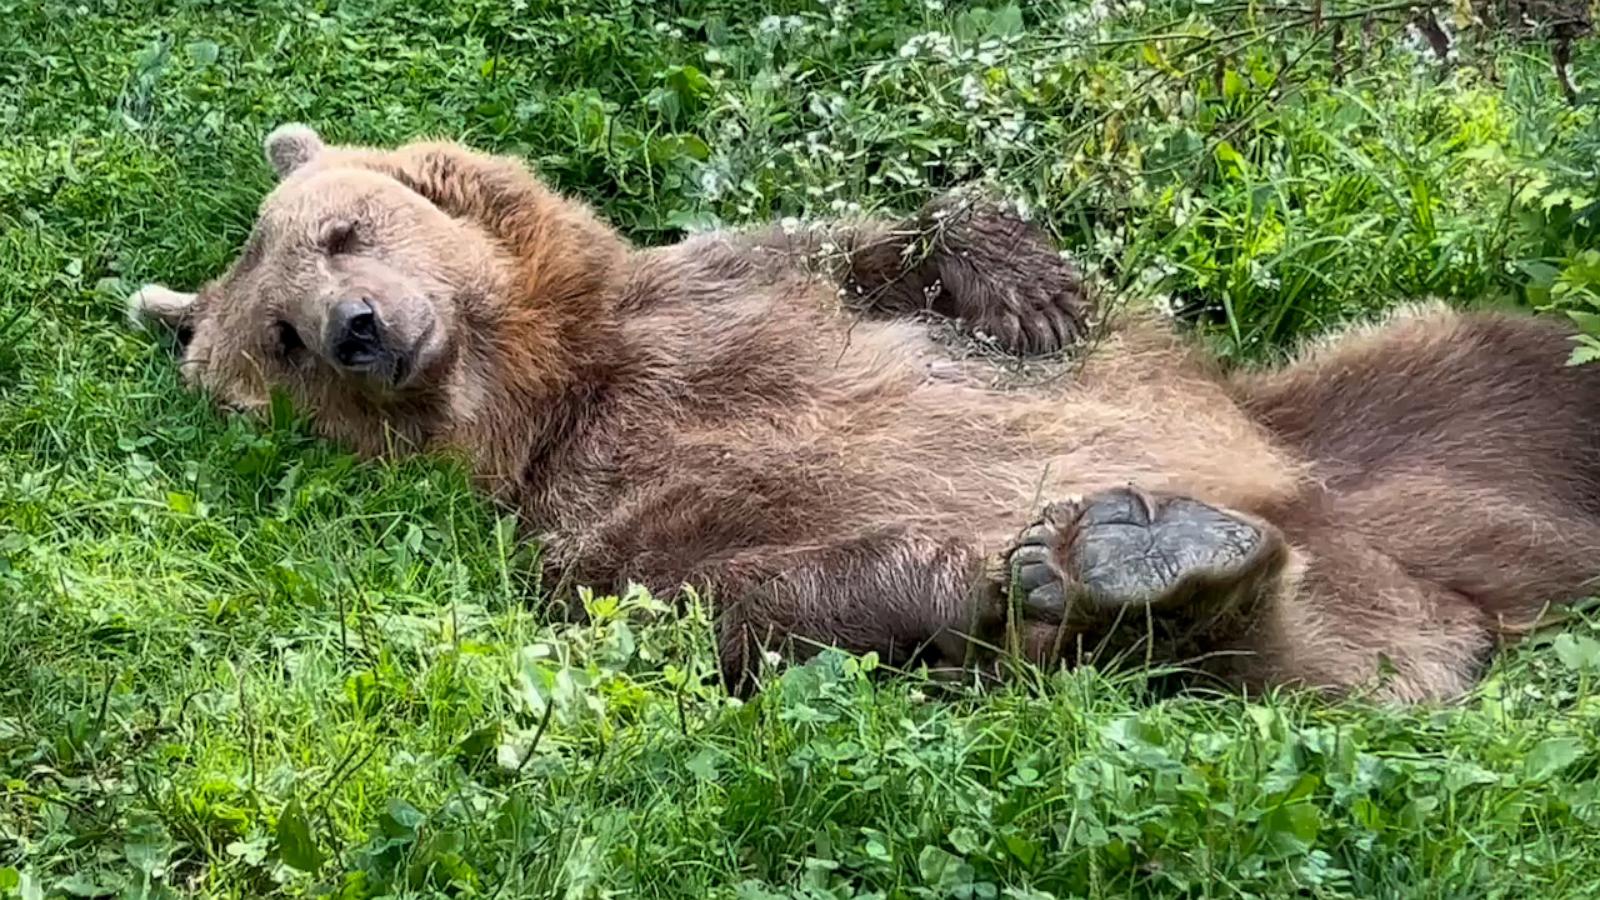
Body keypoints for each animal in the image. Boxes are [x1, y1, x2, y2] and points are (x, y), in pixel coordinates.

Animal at [131, 124, 1600, 701]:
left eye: (342, 227)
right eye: (279, 340)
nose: (358, 330)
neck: (558, 383)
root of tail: (1453, 589)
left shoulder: (726, 291)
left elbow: (873, 247)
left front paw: (1023, 284)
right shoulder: (588, 511)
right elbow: (713, 598)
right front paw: (1001, 566)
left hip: (1397, 410)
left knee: (1529, 367)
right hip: (1353, 623)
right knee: (1261, 669)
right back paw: (1159, 562)